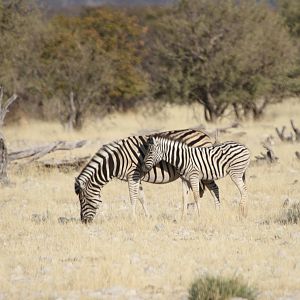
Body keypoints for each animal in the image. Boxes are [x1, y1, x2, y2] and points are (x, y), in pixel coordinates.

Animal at [75, 127, 216, 224]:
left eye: (83, 200)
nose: (83, 222)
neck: (116, 161)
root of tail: (205, 135)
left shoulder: (132, 175)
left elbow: (132, 197)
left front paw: (133, 219)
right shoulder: (137, 177)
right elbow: (141, 198)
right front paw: (148, 217)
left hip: (204, 168)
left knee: (210, 188)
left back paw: (211, 212)